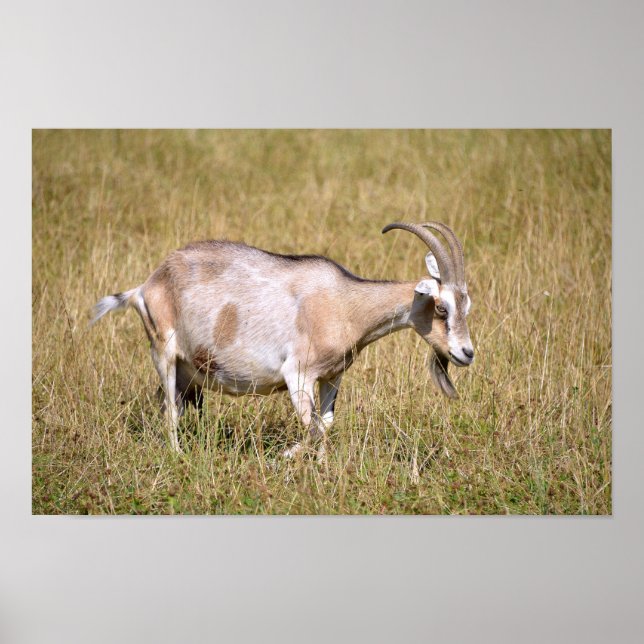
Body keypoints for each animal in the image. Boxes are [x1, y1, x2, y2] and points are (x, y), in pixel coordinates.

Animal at [92, 222, 474, 459]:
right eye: (441, 308)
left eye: (467, 304)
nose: (466, 353)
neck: (344, 303)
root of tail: (147, 285)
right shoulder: (298, 374)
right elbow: (315, 428)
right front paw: (288, 455)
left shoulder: (332, 376)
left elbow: (326, 424)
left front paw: (319, 466)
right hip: (163, 352)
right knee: (170, 411)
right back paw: (177, 456)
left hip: (188, 373)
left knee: (170, 404)